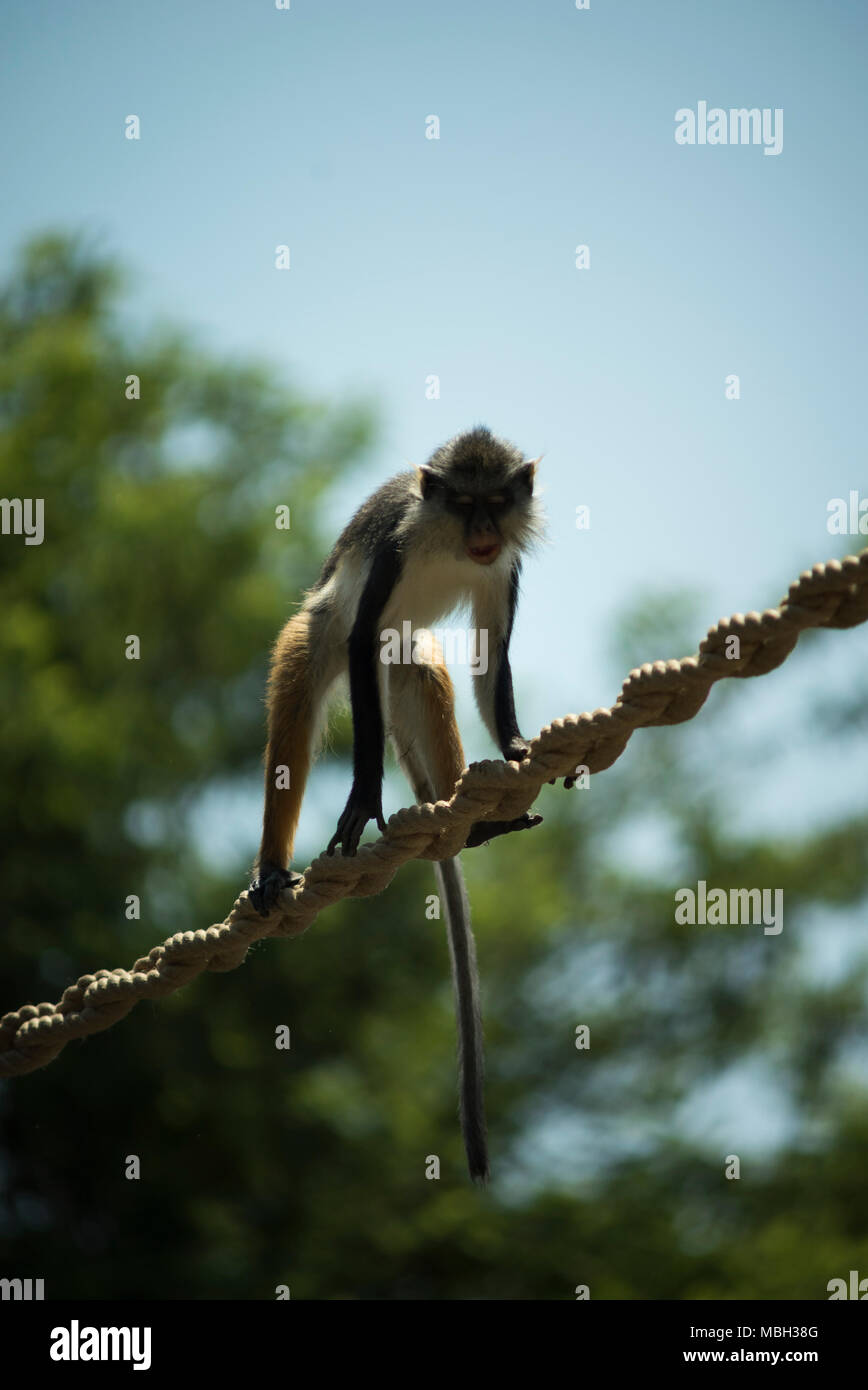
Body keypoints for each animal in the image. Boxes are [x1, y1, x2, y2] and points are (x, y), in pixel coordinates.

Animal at [247, 425, 567, 1184]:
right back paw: (272, 870)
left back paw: (479, 823)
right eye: (464, 504)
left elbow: (492, 656)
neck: (447, 545)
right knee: (305, 701)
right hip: (317, 633)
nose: (483, 533)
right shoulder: (393, 554)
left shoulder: (504, 570)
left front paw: (515, 747)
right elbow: (365, 635)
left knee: (421, 676)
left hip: (405, 661)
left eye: (495, 503)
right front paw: (365, 796)